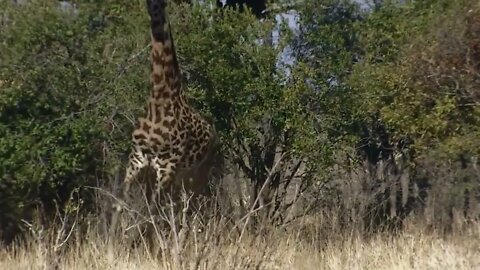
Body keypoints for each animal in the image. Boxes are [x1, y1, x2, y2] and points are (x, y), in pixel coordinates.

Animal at [124, 0, 221, 202]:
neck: (159, 98)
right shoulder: (136, 158)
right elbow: (120, 202)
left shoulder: (166, 167)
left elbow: (152, 207)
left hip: (195, 174)